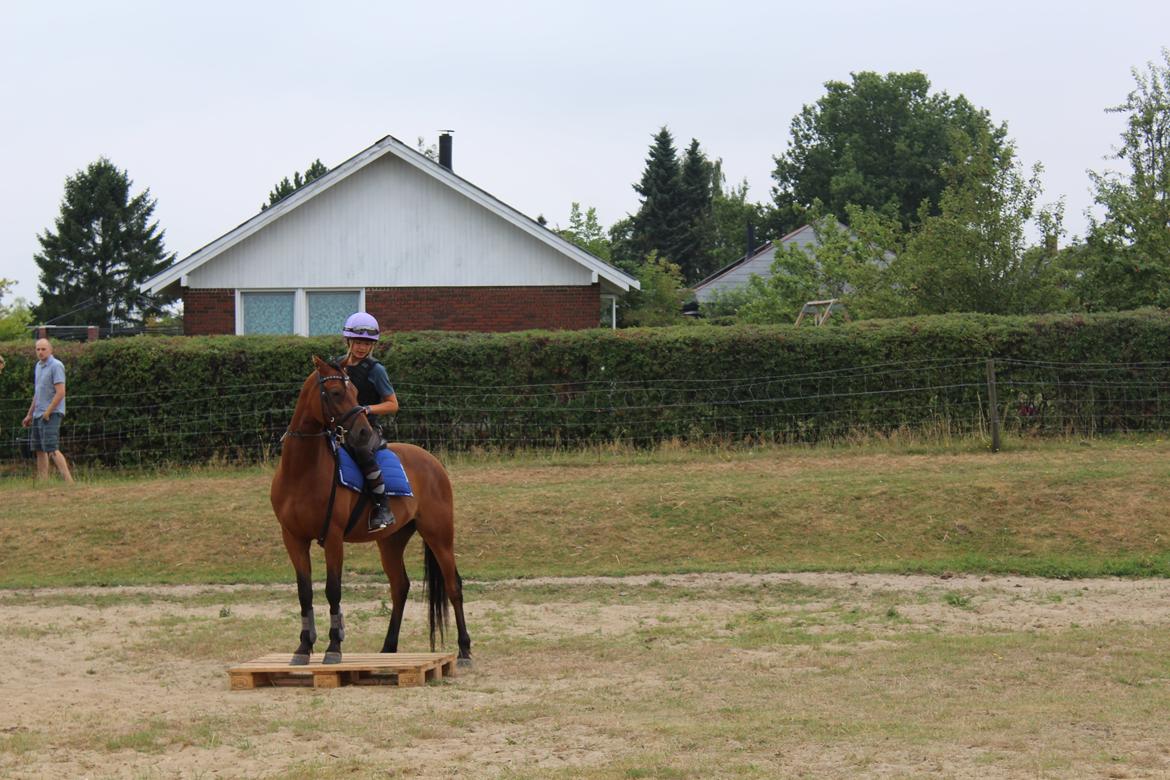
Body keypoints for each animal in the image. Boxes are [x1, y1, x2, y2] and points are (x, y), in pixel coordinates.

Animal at [271, 357, 472, 668]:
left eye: (356, 391)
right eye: (336, 393)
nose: (363, 432)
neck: (302, 471)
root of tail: (432, 460)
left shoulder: (333, 539)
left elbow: (333, 589)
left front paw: (334, 647)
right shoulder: (293, 539)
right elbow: (305, 592)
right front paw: (303, 647)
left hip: (439, 535)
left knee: (453, 586)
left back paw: (464, 650)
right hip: (391, 541)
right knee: (399, 586)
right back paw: (388, 648)